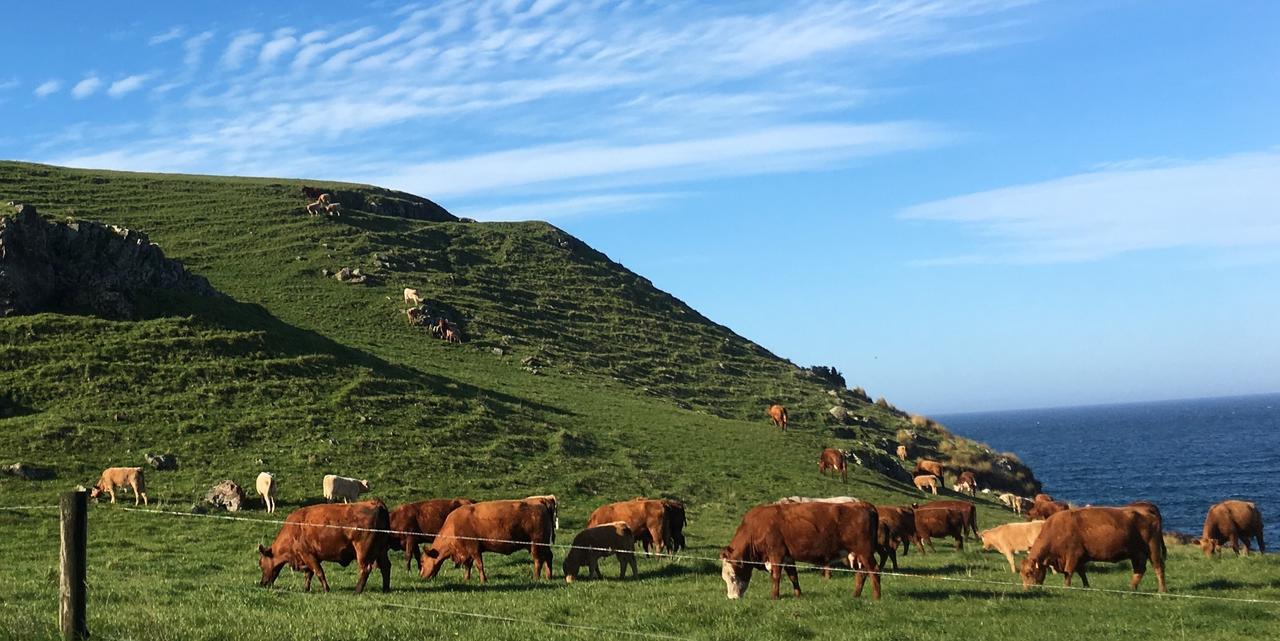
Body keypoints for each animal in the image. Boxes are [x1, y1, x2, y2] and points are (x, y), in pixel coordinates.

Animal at [259, 496, 394, 591]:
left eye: (260, 564)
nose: (262, 583)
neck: (294, 530)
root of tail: (375, 503)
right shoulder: (309, 557)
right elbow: (309, 574)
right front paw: (306, 589)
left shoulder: (308, 555)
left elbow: (319, 572)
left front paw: (326, 589)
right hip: (381, 549)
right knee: (386, 566)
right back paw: (385, 589)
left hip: (363, 551)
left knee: (365, 569)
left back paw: (357, 590)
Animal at [419, 496, 555, 583]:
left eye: (422, 561)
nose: (421, 576)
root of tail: (540, 500)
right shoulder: (467, 552)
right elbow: (468, 565)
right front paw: (466, 579)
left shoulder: (474, 548)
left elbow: (479, 565)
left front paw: (483, 580)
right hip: (542, 544)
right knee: (549, 557)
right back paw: (549, 576)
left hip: (536, 543)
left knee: (538, 560)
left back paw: (536, 578)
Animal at [721, 498, 880, 598]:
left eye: (733, 576)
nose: (732, 597)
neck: (756, 527)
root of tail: (864, 504)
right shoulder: (788, 557)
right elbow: (793, 576)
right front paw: (798, 595)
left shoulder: (776, 553)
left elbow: (776, 576)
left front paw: (774, 596)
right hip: (858, 554)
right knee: (862, 573)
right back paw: (856, 595)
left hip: (864, 551)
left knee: (874, 570)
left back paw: (876, 597)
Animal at [1018, 504, 1172, 588]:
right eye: (1021, 573)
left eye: (1029, 572)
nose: (1028, 589)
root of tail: (1147, 510)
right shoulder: (1079, 558)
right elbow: (1082, 573)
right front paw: (1086, 587)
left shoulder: (1073, 555)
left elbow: (1068, 573)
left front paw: (1067, 588)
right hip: (1136, 553)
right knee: (1139, 570)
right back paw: (1131, 588)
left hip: (1152, 549)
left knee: (1159, 568)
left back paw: (1161, 591)